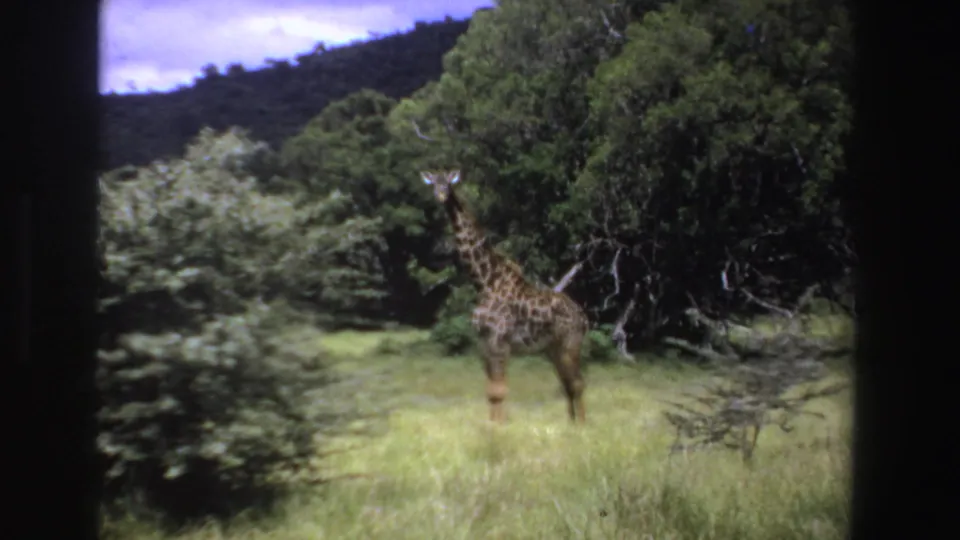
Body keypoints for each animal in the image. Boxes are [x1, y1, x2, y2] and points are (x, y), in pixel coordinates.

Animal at [420, 169, 589, 424]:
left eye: (448, 184)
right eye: (433, 184)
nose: (440, 196)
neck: (485, 282)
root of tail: (583, 316)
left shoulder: (499, 341)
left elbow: (499, 391)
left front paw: (500, 428)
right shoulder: (483, 343)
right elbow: (491, 392)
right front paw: (492, 426)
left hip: (571, 343)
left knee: (577, 384)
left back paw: (583, 427)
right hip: (553, 348)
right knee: (567, 384)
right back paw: (571, 425)